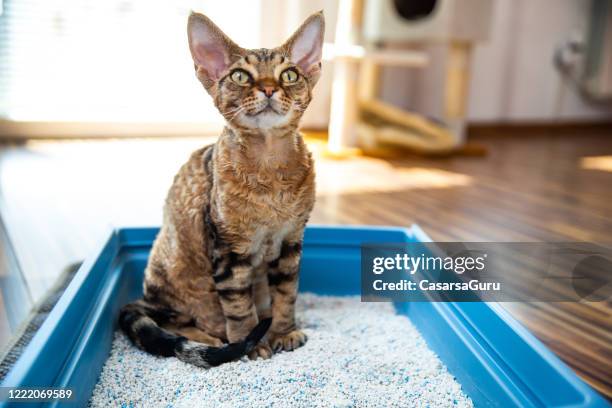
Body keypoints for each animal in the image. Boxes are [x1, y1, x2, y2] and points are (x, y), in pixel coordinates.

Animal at [117, 9, 322, 368]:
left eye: (290, 75)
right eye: (240, 76)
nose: (269, 88)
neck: (271, 176)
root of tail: (144, 297)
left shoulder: (291, 241)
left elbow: (287, 294)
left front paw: (284, 332)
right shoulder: (228, 248)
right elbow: (238, 306)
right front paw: (249, 343)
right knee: (175, 322)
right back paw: (211, 339)